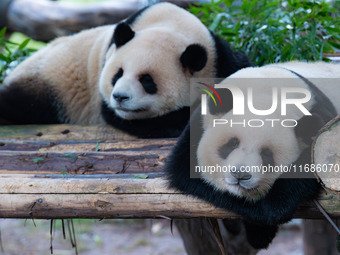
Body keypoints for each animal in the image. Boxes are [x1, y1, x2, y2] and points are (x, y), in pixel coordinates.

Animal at [0, 2, 250, 137]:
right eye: (117, 74)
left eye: (147, 80)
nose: (120, 97)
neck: (172, 25)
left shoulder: (218, 56)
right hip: (49, 82)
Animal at [166, 61, 340, 249]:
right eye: (232, 144)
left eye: (266, 155)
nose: (240, 175)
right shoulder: (198, 125)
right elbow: (185, 173)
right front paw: (260, 229)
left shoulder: (323, 123)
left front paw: (272, 209)